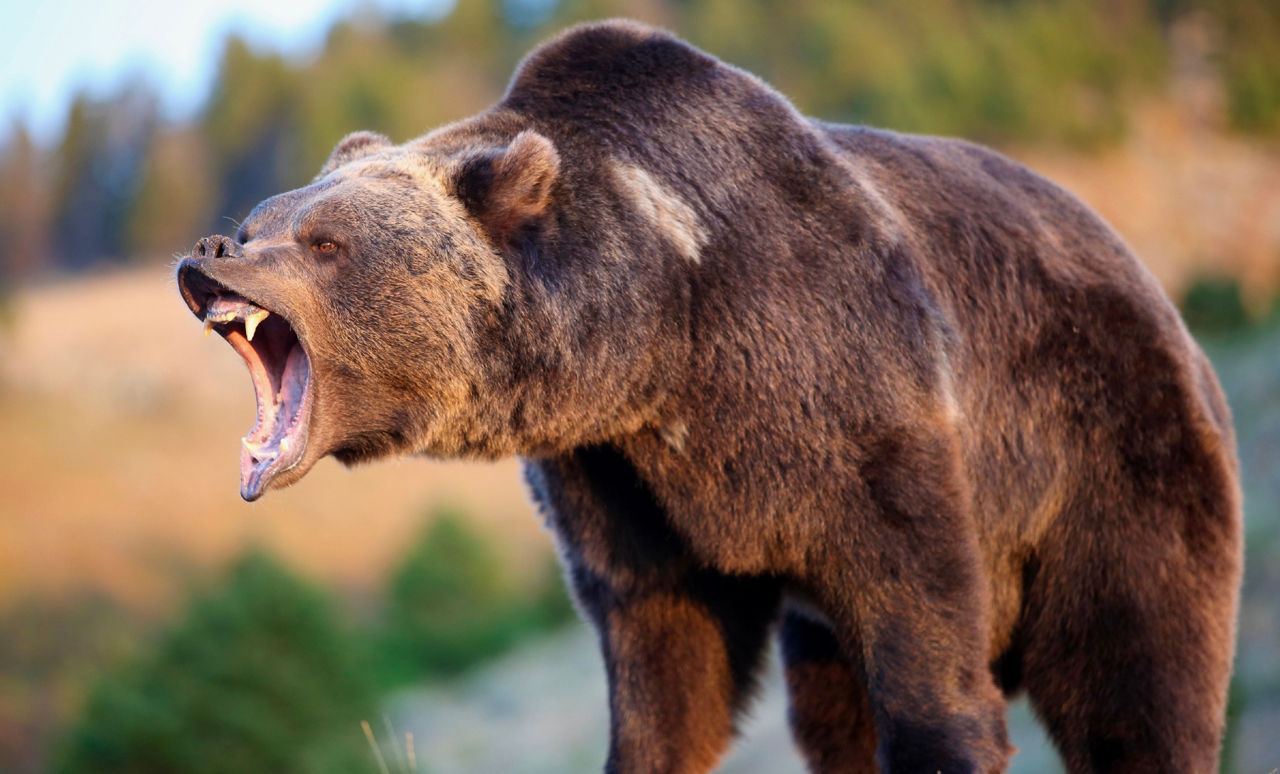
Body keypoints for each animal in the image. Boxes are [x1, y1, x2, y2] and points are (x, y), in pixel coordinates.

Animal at [177, 19, 1242, 774]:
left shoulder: (859, 404)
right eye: (263, 219)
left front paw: (952, 738)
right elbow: (667, 670)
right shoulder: (623, 485)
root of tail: (1153, 286)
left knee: (1138, 681)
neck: (661, 343)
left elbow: (924, 640)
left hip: (1112, 457)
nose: (209, 250)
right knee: (831, 711)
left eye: (324, 242)